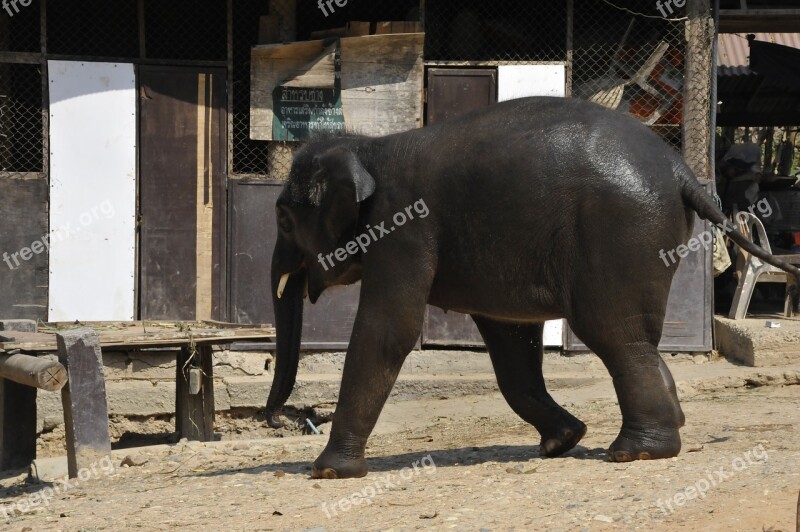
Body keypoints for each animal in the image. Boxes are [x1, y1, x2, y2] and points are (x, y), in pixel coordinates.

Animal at [264, 96, 800, 482]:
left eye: (283, 220)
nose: (276, 419)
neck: (368, 147)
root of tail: (681, 171)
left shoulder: (402, 229)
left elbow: (389, 329)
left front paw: (328, 472)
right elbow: (510, 342)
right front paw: (562, 441)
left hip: (621, 233)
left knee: (615, 334)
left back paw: (636, 454)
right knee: (635, 338)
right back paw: (661, 429)